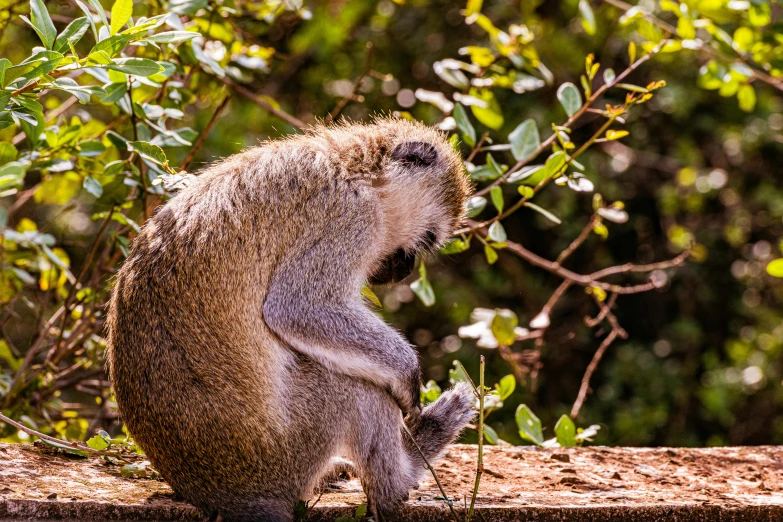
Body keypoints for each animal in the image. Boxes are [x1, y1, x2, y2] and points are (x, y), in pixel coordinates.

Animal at [106, 119, 478, 520]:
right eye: (427, 239)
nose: (405, 269)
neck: (359, 169)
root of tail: (223, 495)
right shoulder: (350, 216)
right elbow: (299, 308)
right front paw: (409, 375)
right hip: (289, 446)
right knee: (355, 386)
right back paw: (401, 476)